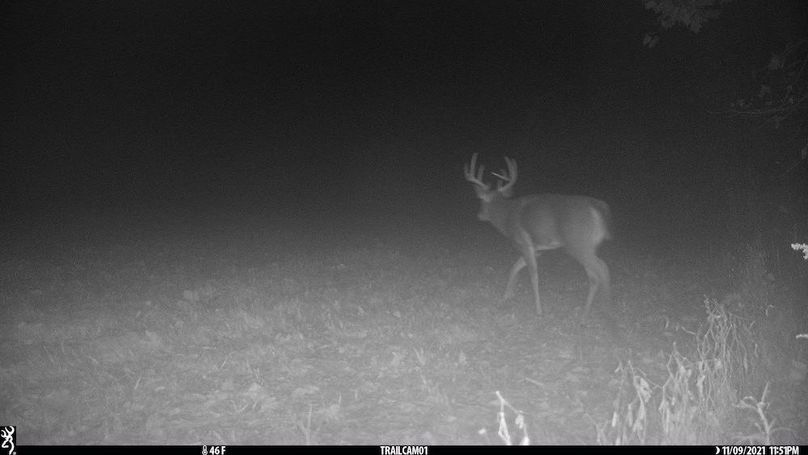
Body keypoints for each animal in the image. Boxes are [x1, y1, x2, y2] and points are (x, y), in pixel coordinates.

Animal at [463, 153, 611, 319]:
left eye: (480, 200)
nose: (479, 215)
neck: (506, 217)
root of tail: (597, 208)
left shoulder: (523, 243)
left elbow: (533, 276)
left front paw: (539, 310)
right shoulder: (537, 249)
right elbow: (514, 268)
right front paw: (506, 296)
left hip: (578, 244)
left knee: (602, 269)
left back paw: (607, 309)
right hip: (588, 246)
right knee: (596, 274)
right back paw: (585, 314)